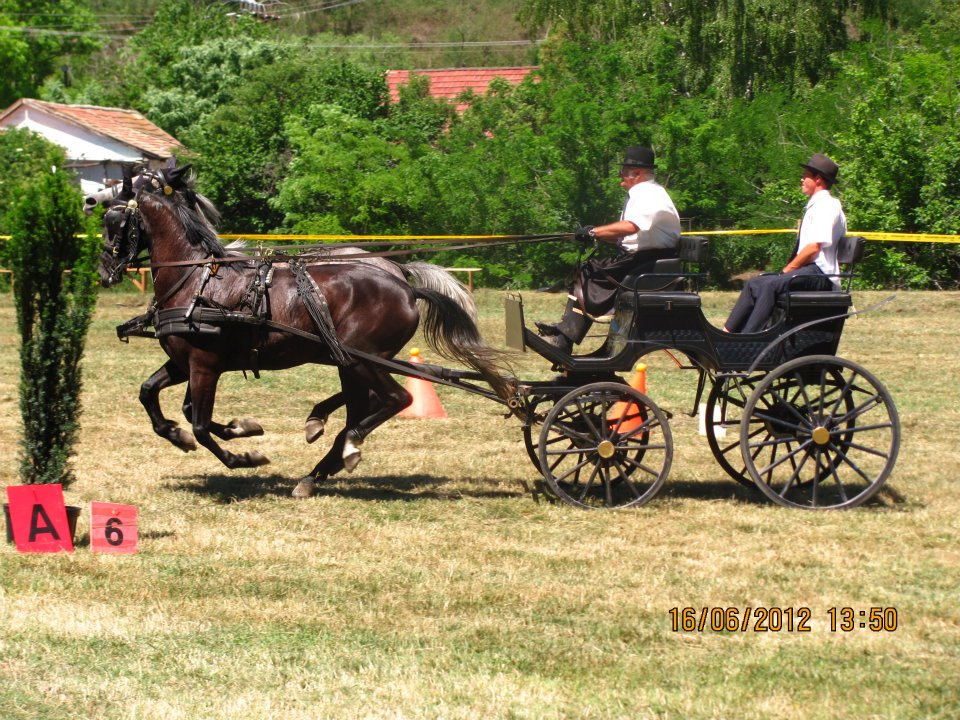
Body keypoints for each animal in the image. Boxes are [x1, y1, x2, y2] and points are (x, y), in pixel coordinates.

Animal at [97, 166, 512, 498]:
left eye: (114, 222)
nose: (103, 273)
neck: (197, 280)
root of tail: (407, 287)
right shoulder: (185, 363)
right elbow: (151, 394)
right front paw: (221, 430)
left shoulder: (204, 365)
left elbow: (199, 424)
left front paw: (243, 456)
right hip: (353, 361)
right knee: (364, 406)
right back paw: (318, 464)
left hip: (360, 360)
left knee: (395, 400)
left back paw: (345, 448)